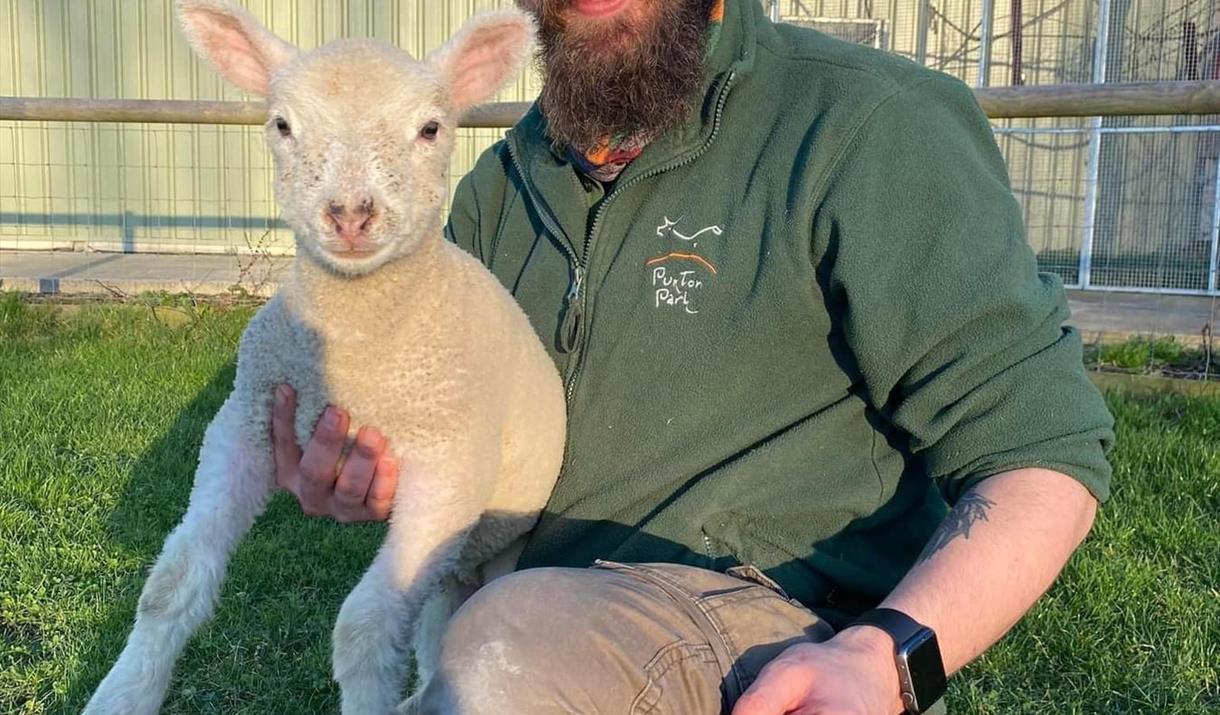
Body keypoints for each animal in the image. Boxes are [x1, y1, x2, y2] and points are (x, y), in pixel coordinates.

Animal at [86, 2, 566, 707]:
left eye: (431, 128)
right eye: (283, 125)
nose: (350, 215)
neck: (358, 353)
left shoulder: (453, 464)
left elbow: (364, 630)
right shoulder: (245, 420)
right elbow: (169, 584)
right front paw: (121, 697)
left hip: (496, 534)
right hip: (455, 559)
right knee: (435, 628)